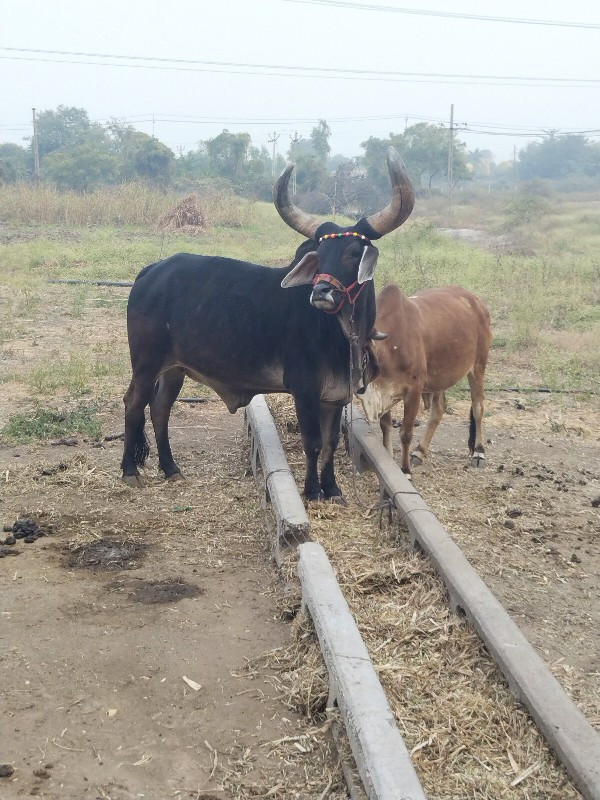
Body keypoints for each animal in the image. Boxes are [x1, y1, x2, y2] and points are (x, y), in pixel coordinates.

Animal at [121, 146, 412, 500]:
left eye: (354, 251)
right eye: (319, 254)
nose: (321, 292)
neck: (339, 335)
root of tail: (153, 270)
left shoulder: (336, 397)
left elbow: (330, 444)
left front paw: (332, 488)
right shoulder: (304, 389)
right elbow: (313, 443)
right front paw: (312, 491)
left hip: (174, 369)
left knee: (160, 408)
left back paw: (171, 468)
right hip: (146, 363)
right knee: (134, 404)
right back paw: (130, 470)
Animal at [356, 286, 492, 476]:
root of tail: (477, 302)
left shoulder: (414, 390)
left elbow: (406, 434)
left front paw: (405, 471)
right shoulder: (385, 393)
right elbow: (386, 425)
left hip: (478, 365)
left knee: (478, 407)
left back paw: (479, 452)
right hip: (442, 376)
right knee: (438, 411)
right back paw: (419, 451)